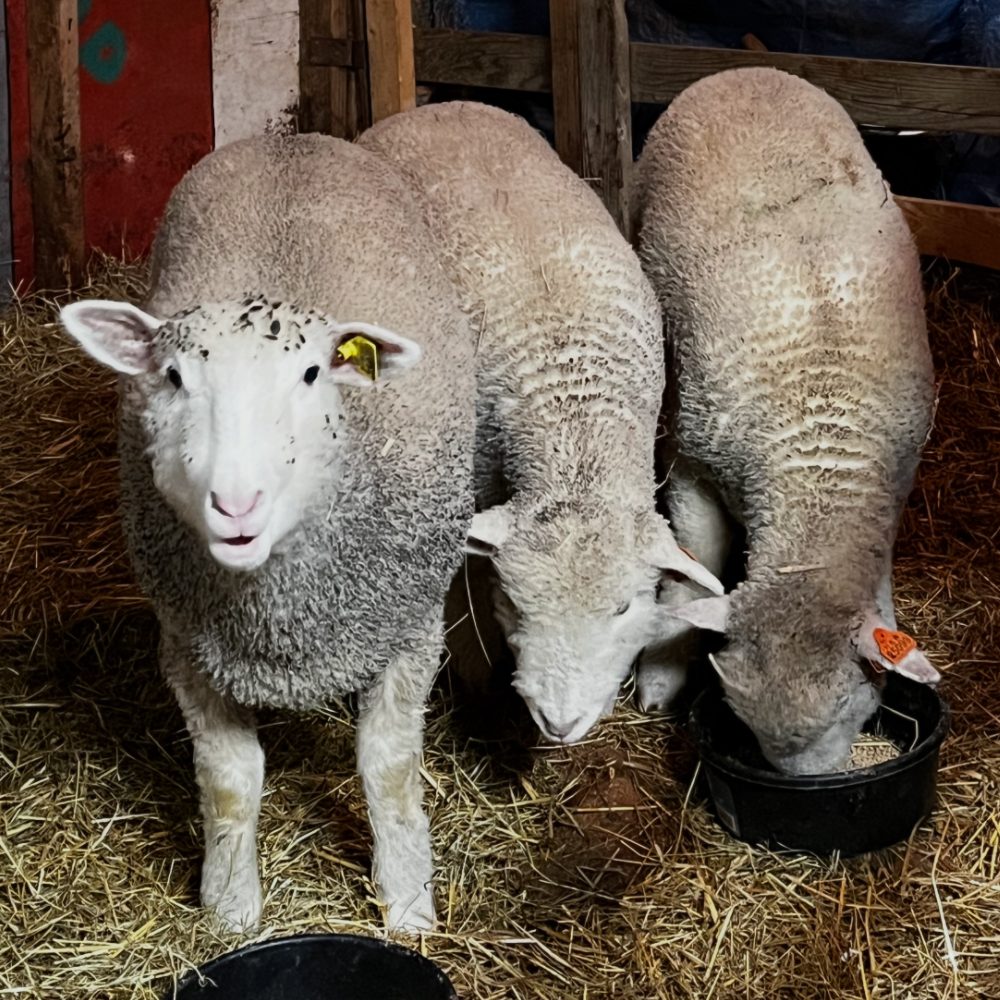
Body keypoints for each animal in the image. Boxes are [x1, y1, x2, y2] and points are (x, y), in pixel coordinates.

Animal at [58, 134, 475, 932]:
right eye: (171, 377)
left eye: (313, 374)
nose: (236, 503)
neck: (279, 617)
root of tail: (293, 137)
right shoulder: (189, 645)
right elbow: (230, 780)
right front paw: (229, 906)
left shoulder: (411, 630)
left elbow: (387, 769)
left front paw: (408, 902)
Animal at [635, 67, 939, 775]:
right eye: (747, 728)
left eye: (851, 704)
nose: (810, 787)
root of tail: (747, 72)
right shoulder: (695, 464)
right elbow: (693, 574)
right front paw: (662, 674)